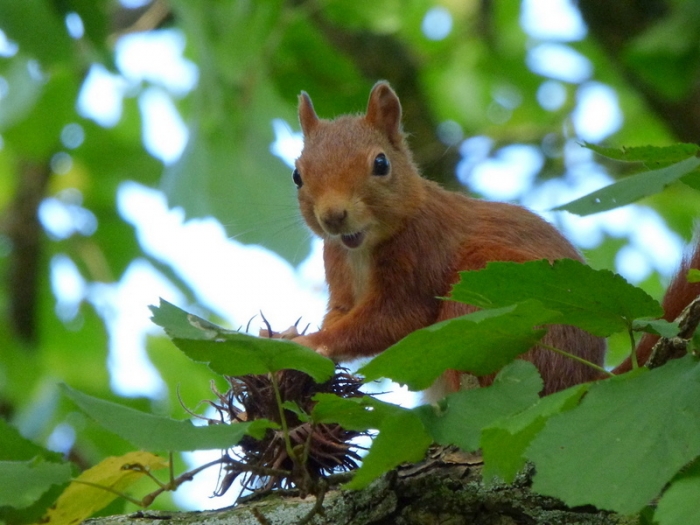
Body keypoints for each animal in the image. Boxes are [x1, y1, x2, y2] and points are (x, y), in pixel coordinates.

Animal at [286, 80, 699, 395]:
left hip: (484, 306)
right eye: (297, 174)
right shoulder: (338, 271)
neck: (362, 250)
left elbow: (392, 319)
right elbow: (341, 313)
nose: (333, 216)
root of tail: (586, 379)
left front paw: (308, 343)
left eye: (381, 163)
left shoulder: (423, 255)